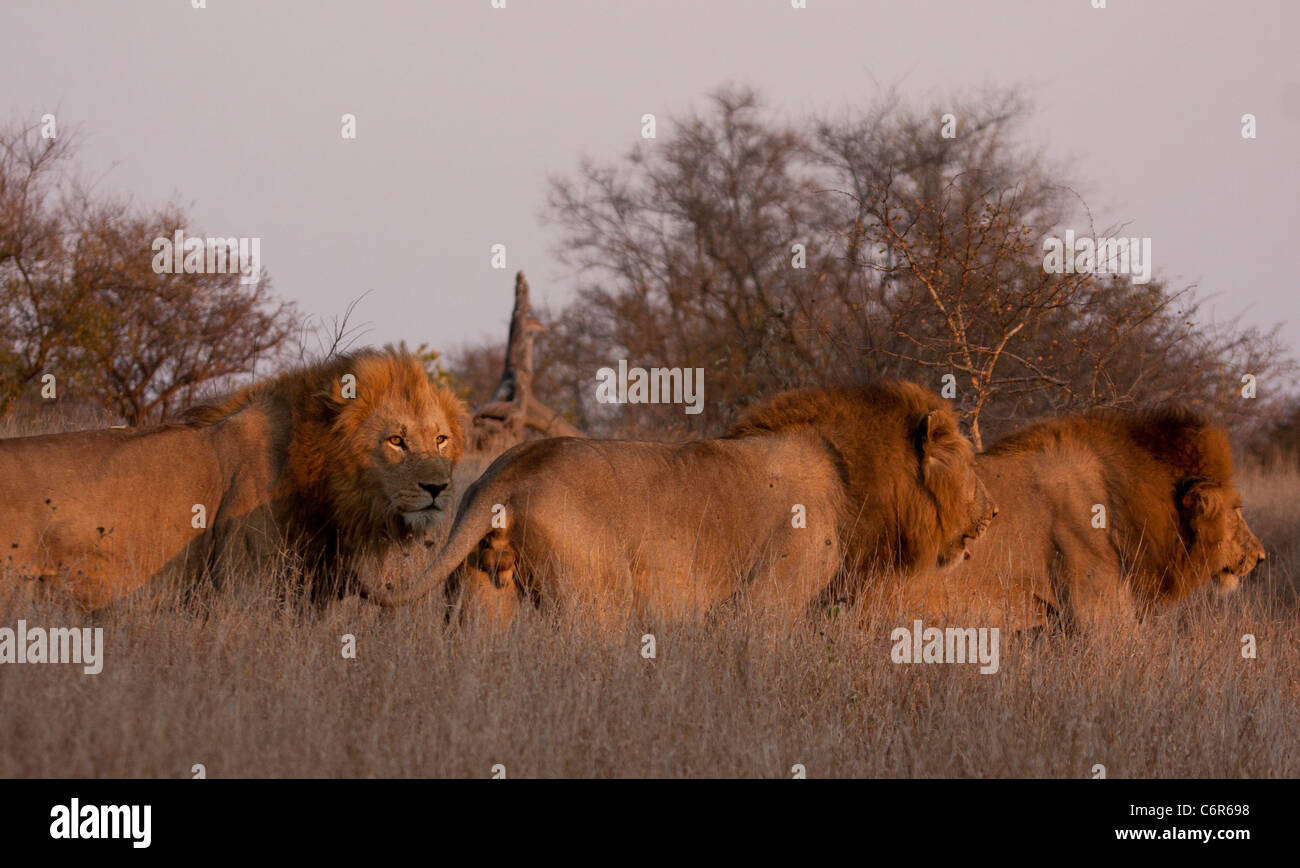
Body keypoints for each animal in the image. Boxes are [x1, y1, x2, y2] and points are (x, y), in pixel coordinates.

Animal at [364, 381, 994, 628]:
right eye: (968, 464)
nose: (992, 514)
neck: (850, 469)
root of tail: (508, 470)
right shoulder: (768, 603)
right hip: (599, 602)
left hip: (479, 599)